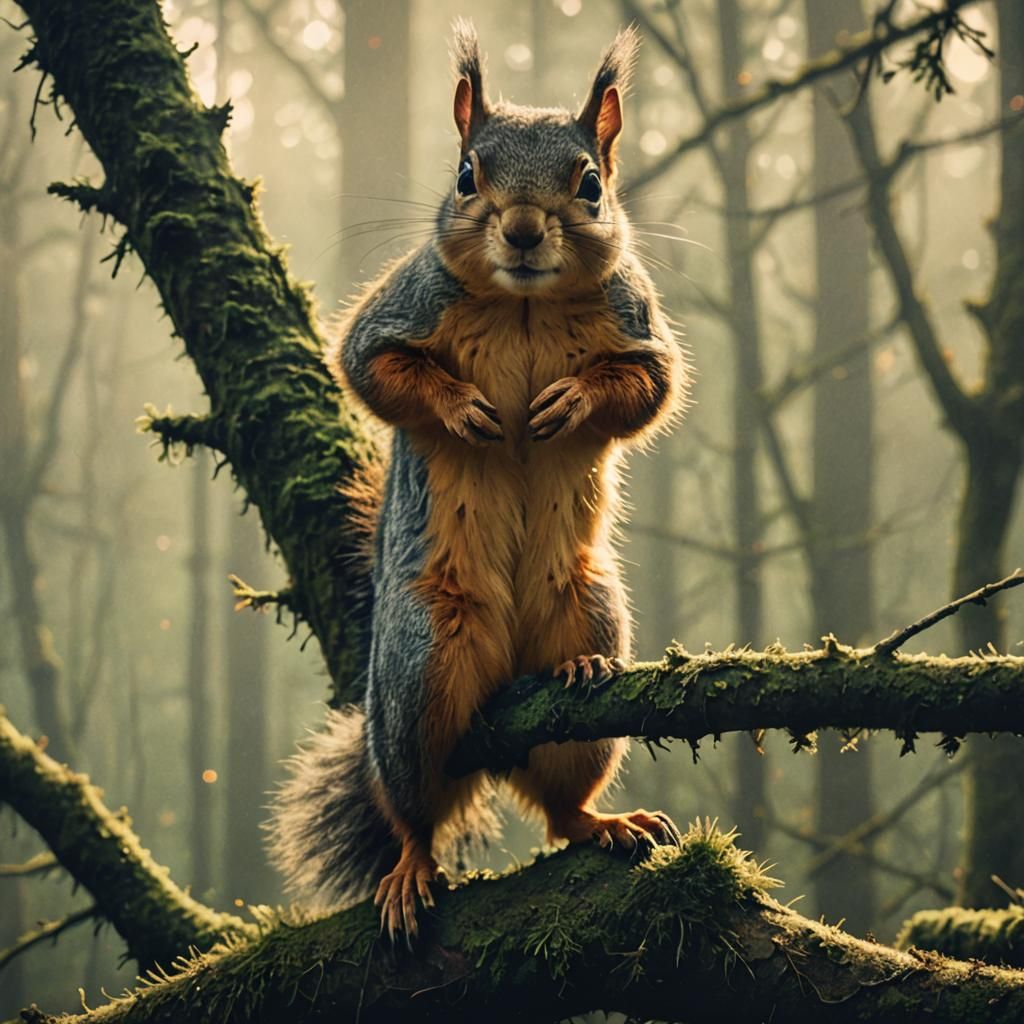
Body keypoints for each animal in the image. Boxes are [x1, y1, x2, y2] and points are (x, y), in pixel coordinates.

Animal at [268, 20, 688, 940]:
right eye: (467, 176)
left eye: (591, 184)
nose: (524, 230)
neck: (524, 302)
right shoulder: (401, 308)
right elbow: (372, 369)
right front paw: (463, 411)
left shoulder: (637, 324)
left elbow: (648, 389)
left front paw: (571, 402)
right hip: (420, 669)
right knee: (413, 806)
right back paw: (410, 870)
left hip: (588, 618)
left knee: (561, 802)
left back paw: (600, 793)